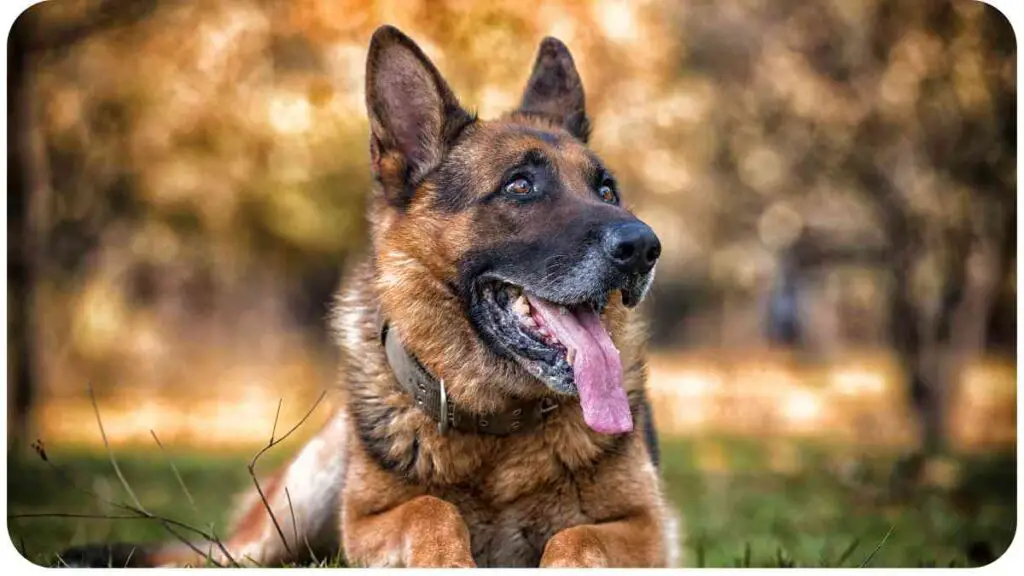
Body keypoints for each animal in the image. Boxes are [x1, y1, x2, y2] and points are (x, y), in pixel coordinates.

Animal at [59, 25, 679, 565]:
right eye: (520, 186)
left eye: (607, 190)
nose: (644, 246)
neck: (498, 431)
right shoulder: (365, 520)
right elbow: (430, 508)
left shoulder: (647, 526)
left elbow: (577, 536)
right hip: (289, 511)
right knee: (212, 555)